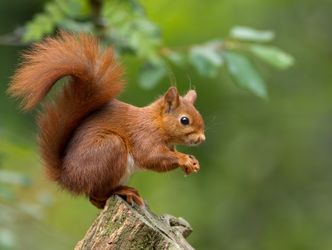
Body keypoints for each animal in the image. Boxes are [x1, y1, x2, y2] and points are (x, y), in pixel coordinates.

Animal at [7, 31, 205, 209]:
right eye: (184, 120)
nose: (202, 139)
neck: (156, 123)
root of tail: (68, 179)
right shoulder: (144, 137)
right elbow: (152, 157)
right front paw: (184, 159)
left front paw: (192, 162)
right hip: (110, 149)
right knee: (96, 194)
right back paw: (123, 191)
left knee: (95, 200)